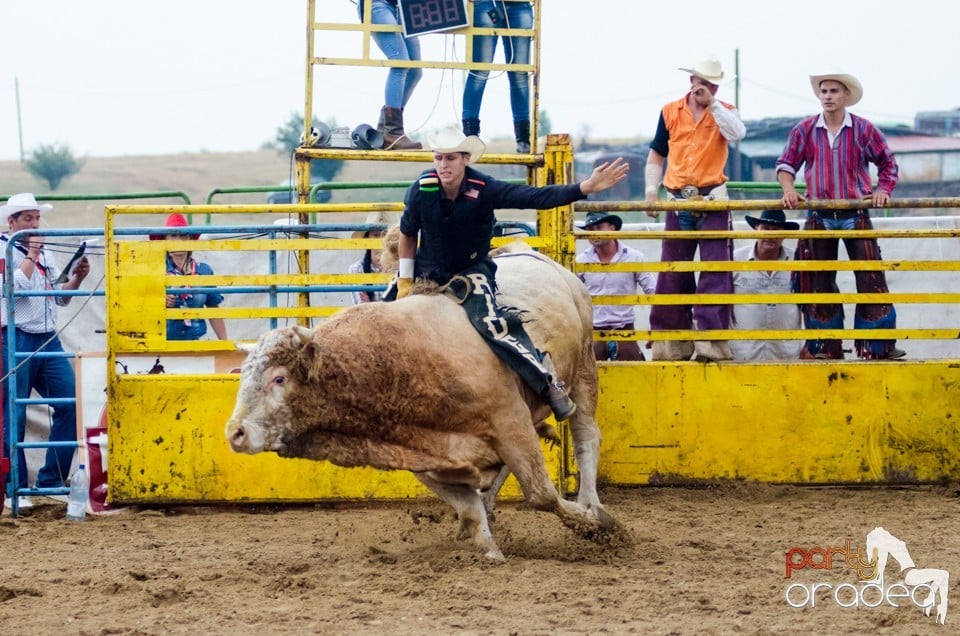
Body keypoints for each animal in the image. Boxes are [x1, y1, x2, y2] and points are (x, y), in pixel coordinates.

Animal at [224, 246, 616, 560]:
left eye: (278, 379)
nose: (235, 433)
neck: (402, 361)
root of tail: (538, 256)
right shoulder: (427, 458)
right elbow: (469, 510)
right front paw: (489, 550)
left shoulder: (510, 422)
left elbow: (542, 494)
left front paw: (595, 525)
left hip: (584, 369)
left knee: (586, 438)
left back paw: (592, 504)